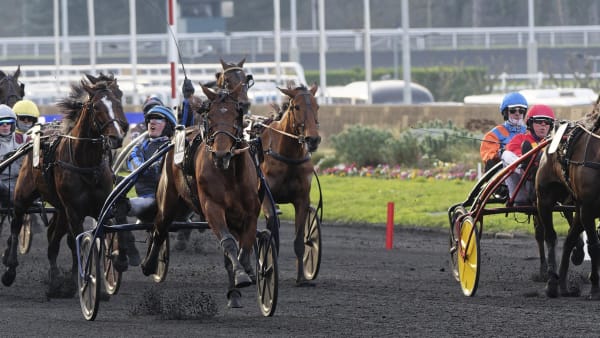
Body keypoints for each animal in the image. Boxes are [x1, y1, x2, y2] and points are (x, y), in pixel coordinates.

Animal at [0, 74, 127, 296]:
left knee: (52, 239)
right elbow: (76, 243)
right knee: (16, 224)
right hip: (23, 195)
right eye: (96, 107)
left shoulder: (100, 205)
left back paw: (54, 280)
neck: (86, 164)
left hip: (59, 209)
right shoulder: (73, 211)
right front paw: (79, 281)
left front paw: (114, 265)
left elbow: (105, 231)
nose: (117, 137)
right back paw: (11, 269)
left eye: (119, 101)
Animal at [142, 83, 262, 308]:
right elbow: (228, 243)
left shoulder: (250, 212)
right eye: (210, 116)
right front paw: (241, 276)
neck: (230, 174)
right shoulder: (212, 207)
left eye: (237, 114)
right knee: (159, 228)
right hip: (168, 200)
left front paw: (246, 272)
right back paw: (149, 264)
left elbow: (245, 246)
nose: (221, 154)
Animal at [260, 82, 322, 286]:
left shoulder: (302, 200)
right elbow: (272, 227)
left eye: (317, 106)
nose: (313, 139)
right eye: (296, 107)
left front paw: (302, 278)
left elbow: (299, 242)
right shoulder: (265, 196)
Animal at [536, 93, 600, 298]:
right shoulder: (588, 206)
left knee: (569, 241)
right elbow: (594, 245)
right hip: (544, 200)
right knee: (550, 236)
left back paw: (563, 285)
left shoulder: (585, 208)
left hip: (578, 209)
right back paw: (551, 282)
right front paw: (595, 288)